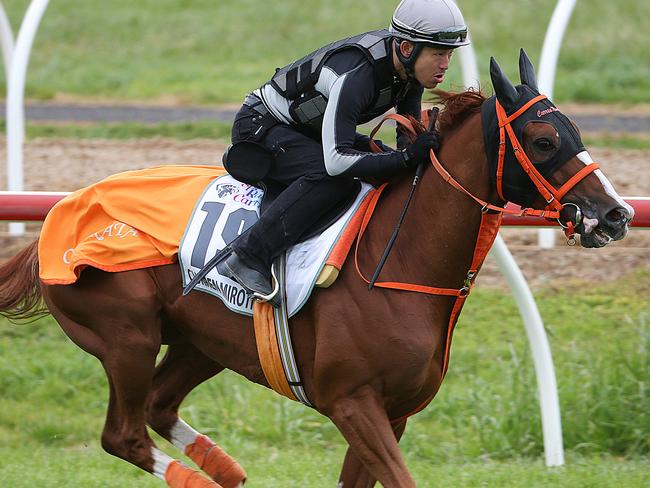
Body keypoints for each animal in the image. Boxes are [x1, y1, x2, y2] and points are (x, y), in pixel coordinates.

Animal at [0, 51, 632, 486]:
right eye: (544, 139)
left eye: (576, 130)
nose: (615, 213)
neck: (394, 263)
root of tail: (61, 213)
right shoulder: (352, 402)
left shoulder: (391, 414)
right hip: (126, 338)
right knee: (123, 434)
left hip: (201, 342)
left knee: (158, 405)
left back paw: (223, 467)